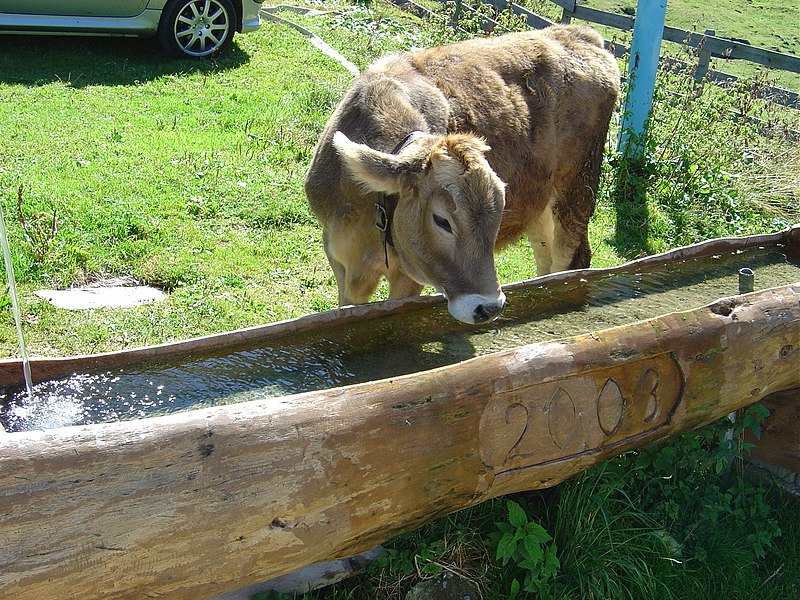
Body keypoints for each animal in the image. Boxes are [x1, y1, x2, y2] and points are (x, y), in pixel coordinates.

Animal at [305, 24, 620, 324]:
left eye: (499, 213)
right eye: (441, 220)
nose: (489, 308)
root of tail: (577, 33)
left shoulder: (409, 275)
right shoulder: (340, 259)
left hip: (578, 187)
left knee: (572, 257)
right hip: (541, 203)